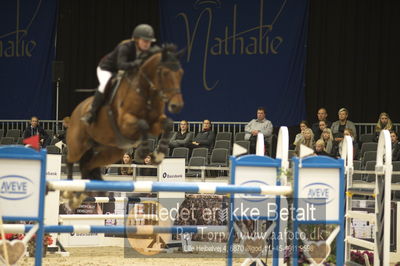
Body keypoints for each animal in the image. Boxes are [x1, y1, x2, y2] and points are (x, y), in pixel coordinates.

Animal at [63, 43, 184, 206]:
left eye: (181, 73)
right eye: (165, 73)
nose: (176, 105)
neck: (145, 91)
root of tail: (77, 110)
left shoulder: (155, 122)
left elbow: (167, 124)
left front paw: (158, 154)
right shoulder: (125, 123)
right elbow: (143, 125)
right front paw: (142, 152)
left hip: (111, 153)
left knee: (87, 165)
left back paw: (79, 195)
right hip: (78, 145)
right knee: (70, 160)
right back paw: (69, 192)